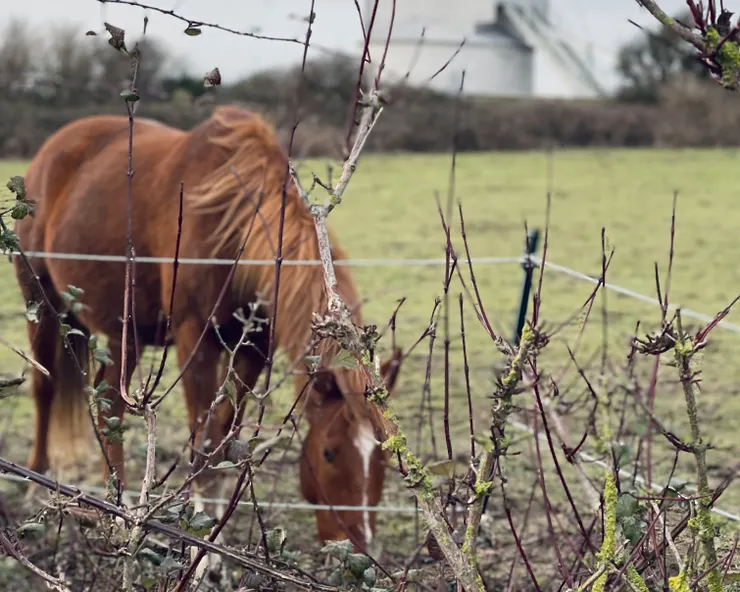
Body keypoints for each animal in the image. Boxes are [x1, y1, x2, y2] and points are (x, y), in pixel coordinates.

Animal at [12, 104, 404, 553]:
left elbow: (223, 443)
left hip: (124, 332)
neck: (234, 232)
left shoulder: (254, 350)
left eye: (383, 457)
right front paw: (202, 550)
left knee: (110, 403)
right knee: (44, 390)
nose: (361, 546)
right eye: (329, 453)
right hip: (41, 302)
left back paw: (120, 503)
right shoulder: (193, 344)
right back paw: (36, 483)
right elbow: (202, 447)